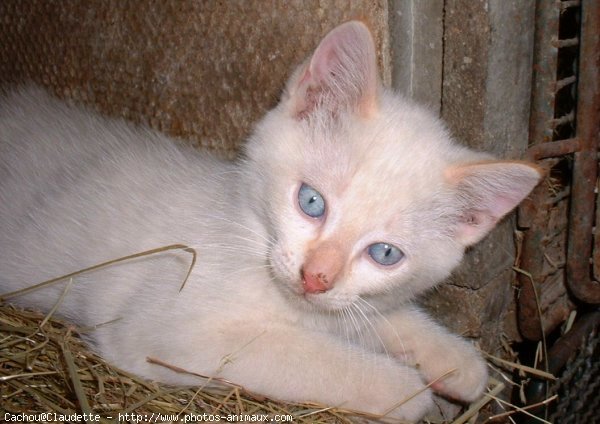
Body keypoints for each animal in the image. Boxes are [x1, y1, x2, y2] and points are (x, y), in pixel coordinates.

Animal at [0, 20, 540, 420]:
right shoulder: (165, 329)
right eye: (312, 202)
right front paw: (407, 391)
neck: (242, 225)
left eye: (385, 253)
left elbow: (380, 316)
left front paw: (458, 361)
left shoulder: (340, 303)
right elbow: (314, 358)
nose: (315, 277)